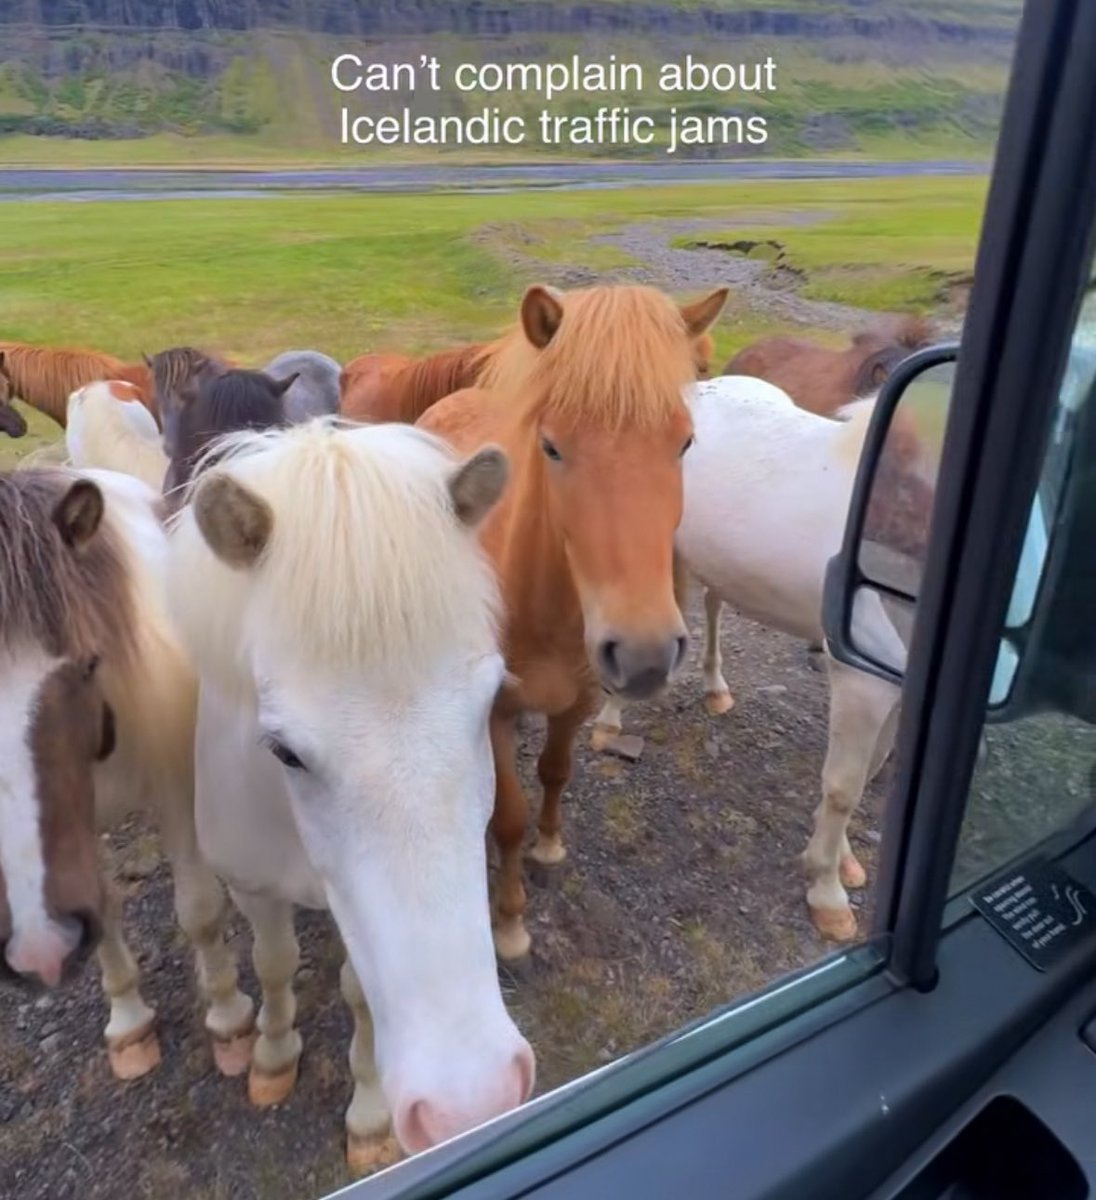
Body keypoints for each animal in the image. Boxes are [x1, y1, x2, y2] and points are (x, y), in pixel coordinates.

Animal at [0, 466, 255, 1080]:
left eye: (89, 663)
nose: (40, 948)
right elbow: (107, 911)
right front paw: (129, 1021)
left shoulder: (176, 789)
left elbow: (198, 909)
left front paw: (229, 1019)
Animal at [164, 418, 535, 1168]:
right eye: (283, 750)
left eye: (488, 703)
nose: (472, 1100)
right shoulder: (251, 882)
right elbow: (274, 961)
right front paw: (273, 1055)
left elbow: (360, 994)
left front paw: (368, 1116)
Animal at [418, 283, 728, 962]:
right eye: (553, 446)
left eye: (685, 443)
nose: (644, 652)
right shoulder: (495, 712)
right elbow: (507, 814)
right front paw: (509, 923)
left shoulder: (579, 700)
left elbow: (556, 772)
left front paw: (550, 844)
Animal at [591, 375, 940, 942]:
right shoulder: (860, 682)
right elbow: (844, 788)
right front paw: (827, 894)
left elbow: (867, 772)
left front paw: (843, 860)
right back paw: (610, 718)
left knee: (713, 605)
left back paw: (715, 689)